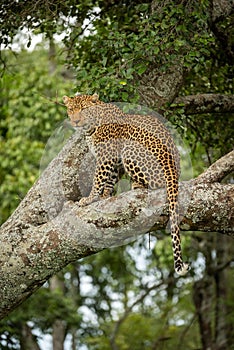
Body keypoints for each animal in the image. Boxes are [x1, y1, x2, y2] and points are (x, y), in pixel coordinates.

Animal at [63, 93, 189, 276]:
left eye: (84, 109)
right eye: (72, 109)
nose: (76, 121)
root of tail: (173, 169)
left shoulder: (106, 155)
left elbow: (98, 178)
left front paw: (89, 199)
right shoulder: (114, 162)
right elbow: (109, 179)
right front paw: (104, 196)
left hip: (131, 148)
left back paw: (137, 185)